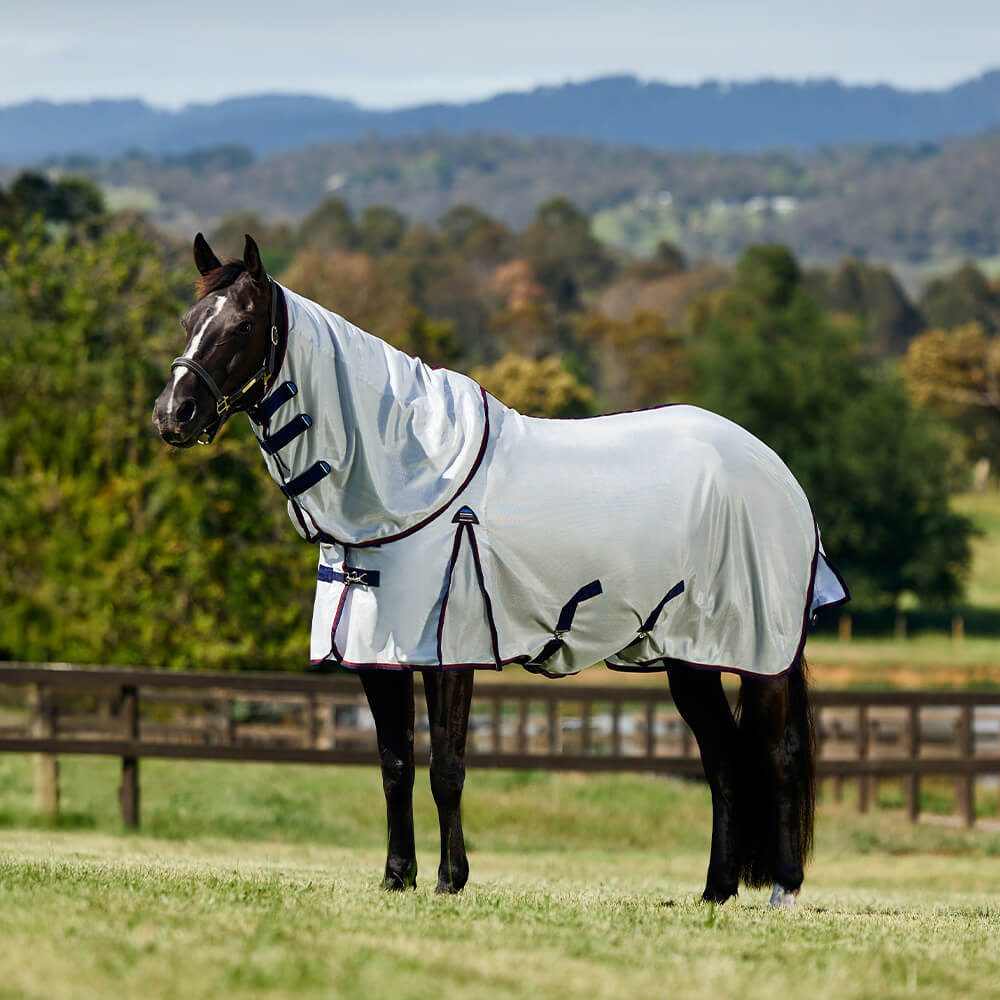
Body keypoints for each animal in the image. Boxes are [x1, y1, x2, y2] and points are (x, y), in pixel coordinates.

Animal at [153, 234, 848, 908]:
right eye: (189, 319)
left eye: (243, 325)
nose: (172, 414)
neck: (407, 470)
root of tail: (777, 473)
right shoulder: (378, 652)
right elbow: (395, 766)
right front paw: (397, 878)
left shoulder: (450, 650)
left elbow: (447, 767)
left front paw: (450, 879)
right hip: (689, 657)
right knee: (724, 759)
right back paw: (715, 891)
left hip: (760, 653)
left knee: (779, 755)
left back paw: (783, 889)